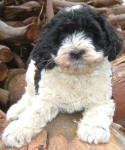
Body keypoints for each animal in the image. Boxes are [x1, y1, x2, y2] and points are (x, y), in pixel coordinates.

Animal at [2, 3, 122, 148]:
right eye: (61, 36)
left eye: (91, 33)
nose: (76, 52)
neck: (76, 75)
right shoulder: (46, 96)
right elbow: (34, 112)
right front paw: (16, 131)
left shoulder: (104, 96)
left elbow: (98, 111)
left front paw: (93, 130)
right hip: (31, 73)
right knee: (28, 94)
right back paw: (17, 109)